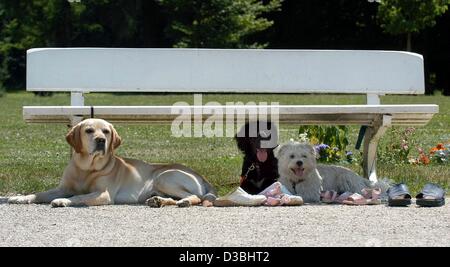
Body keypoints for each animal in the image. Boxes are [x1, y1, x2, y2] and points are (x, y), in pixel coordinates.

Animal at [7, 119, 217, 209]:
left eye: (106, 132)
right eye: (89, 130)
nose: (101, 140)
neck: (87, 168)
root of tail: (201, 176)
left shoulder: (103, 194)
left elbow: (79, 196)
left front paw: (63, 201)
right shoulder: (62, 187)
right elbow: (39, 194)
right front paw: (20, 197)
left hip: (164, 177)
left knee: (196, 197)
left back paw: (184, 201)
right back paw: (158, 201)